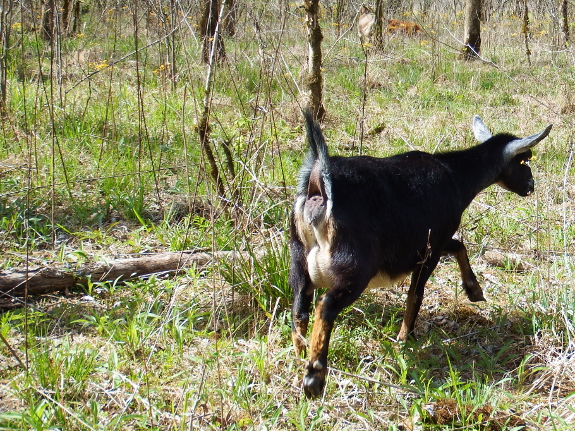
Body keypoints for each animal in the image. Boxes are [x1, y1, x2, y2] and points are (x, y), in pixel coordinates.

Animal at [292, 111, 552, 398]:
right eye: (524, 160)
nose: (530, 186)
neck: (455, 177)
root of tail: (319, 184)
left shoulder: (431, 241)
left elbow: (458, 246)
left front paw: (474, 290)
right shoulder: (430, 249)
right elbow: (415, 294)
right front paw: (404, 339)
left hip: (299, 257)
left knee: (300, 307)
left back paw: (300, 352)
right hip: (354, 266)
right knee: (325, 305)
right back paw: (314, 378)